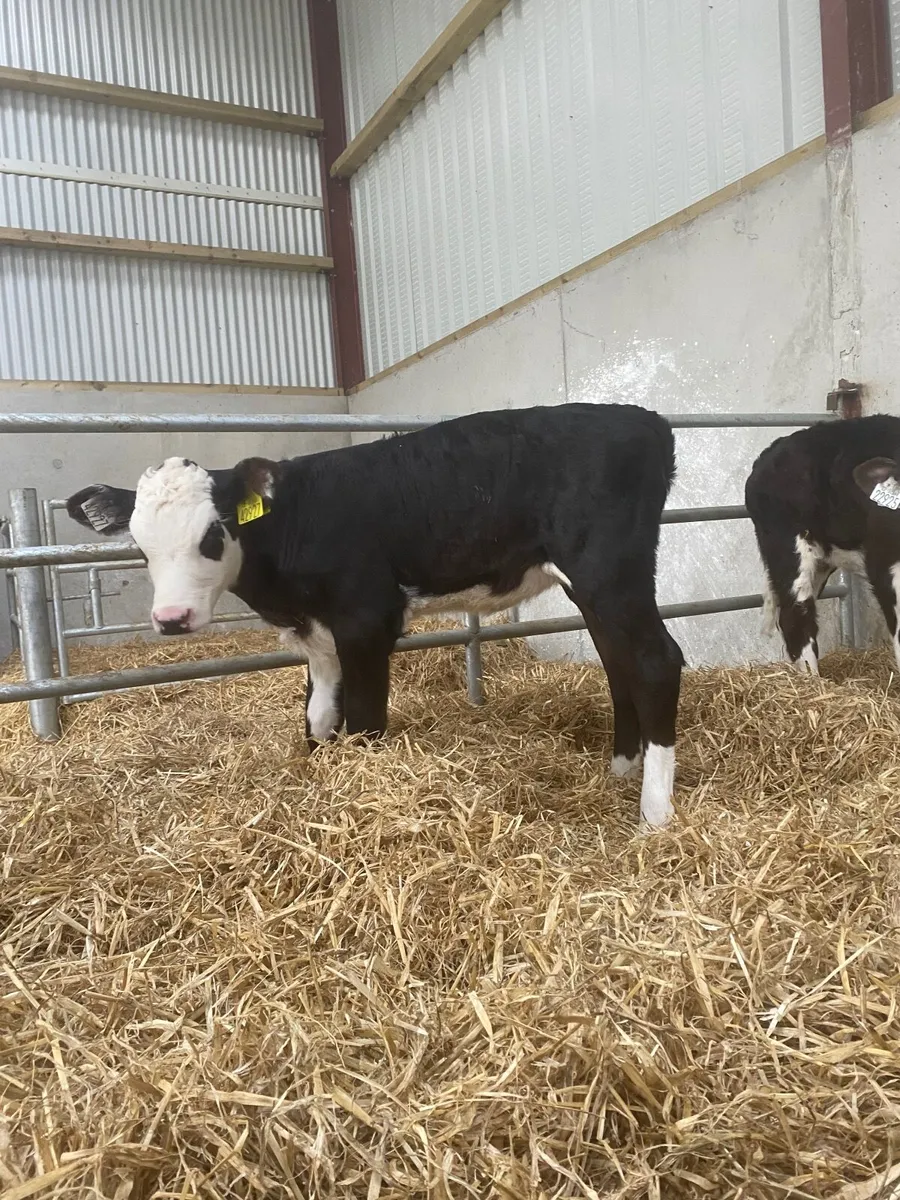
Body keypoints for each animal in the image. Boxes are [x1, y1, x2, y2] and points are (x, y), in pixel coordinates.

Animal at [65, 403, 685, 827]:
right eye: (140, 547)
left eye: (213, 535)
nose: (171, 618)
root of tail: (643, 418)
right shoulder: (320, 635)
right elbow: (318, 717)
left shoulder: (366, 618)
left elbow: (364, 720)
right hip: (596, 589)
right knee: (618, 663)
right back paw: (621, 770)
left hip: (609, 571)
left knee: (655, 661)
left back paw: (654, 814)